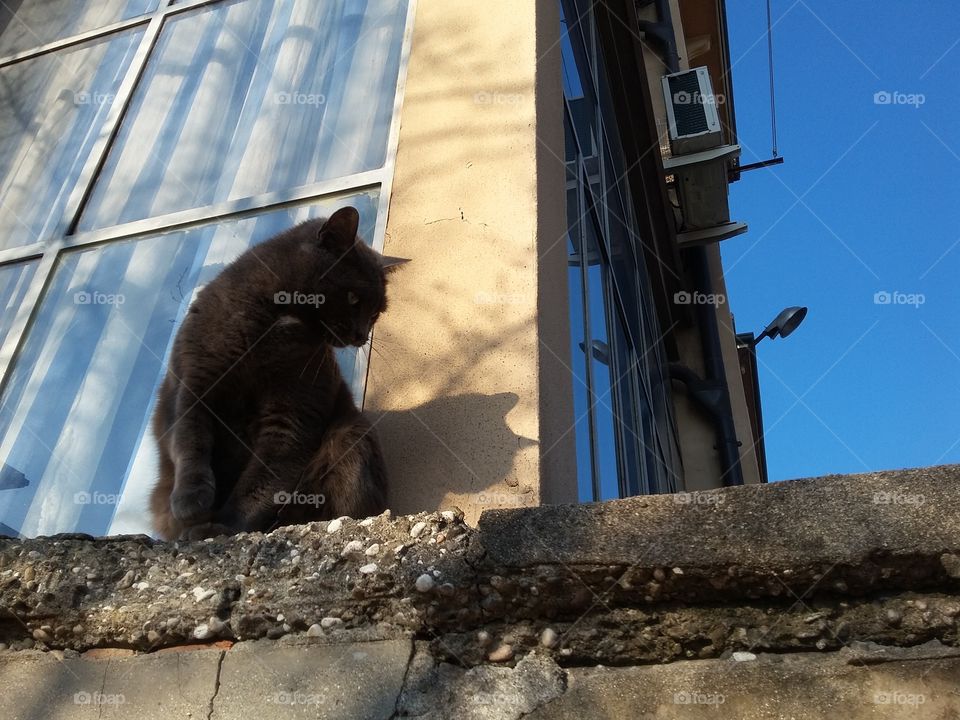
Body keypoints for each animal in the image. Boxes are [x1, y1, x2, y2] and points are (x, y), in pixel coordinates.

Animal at [149, 208, 404, 540]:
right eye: (353, 299)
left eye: (375, 314)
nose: (362, 335)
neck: (276, 324)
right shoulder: (195, 380)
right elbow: (189, 439)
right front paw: (192, 504)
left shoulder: (295, 410)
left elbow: (264, 478)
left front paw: (224, 527)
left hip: (349, 433)